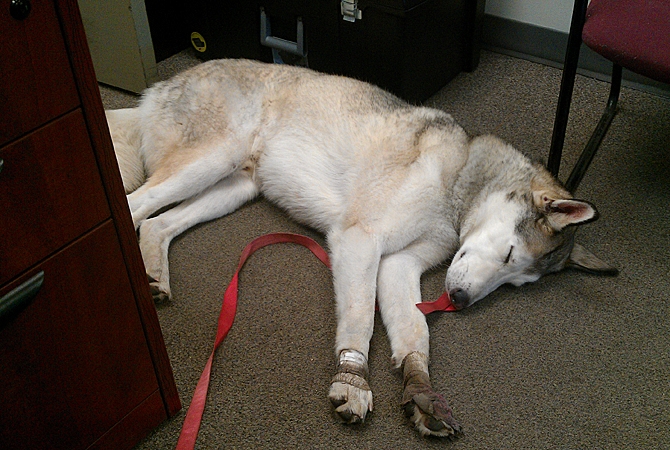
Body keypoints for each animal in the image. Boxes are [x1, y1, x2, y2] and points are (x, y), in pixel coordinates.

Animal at [106, 59, 620, 436]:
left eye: (516, 283)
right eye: (512, 255)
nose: (459, 300)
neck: (459, 179)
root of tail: (166, 81)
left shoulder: (398, 264)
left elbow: (415, 333)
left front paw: (420, 389)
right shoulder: (359, 241)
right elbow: (360, 319)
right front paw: (352, 381)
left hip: (234, 186)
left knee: (155, 224)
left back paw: (153, 276)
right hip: (213, 159)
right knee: (133, 206)